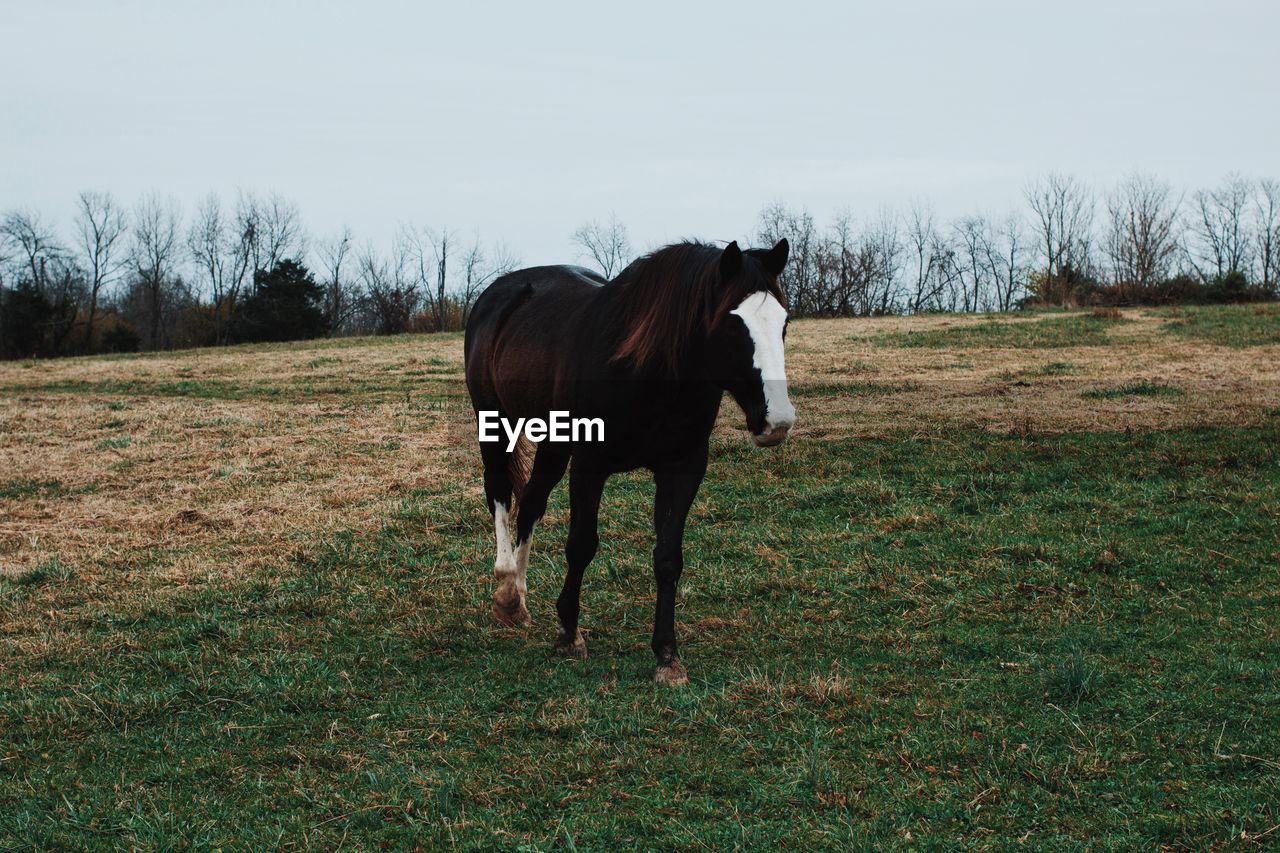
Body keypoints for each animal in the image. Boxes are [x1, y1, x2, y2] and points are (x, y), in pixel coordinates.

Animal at [465, 236, 793, 686]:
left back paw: (519, 595)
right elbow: (581, 545)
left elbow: (669, 558)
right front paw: (569, 635)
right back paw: (506, 591)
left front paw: (667, 655)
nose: (777, 421)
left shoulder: (683, 469)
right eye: (732, 324)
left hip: (553, 443)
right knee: (499, 491)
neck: (647, 369)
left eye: (784, 323)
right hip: (495, 423)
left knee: (531, 503)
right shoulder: (589, 466)